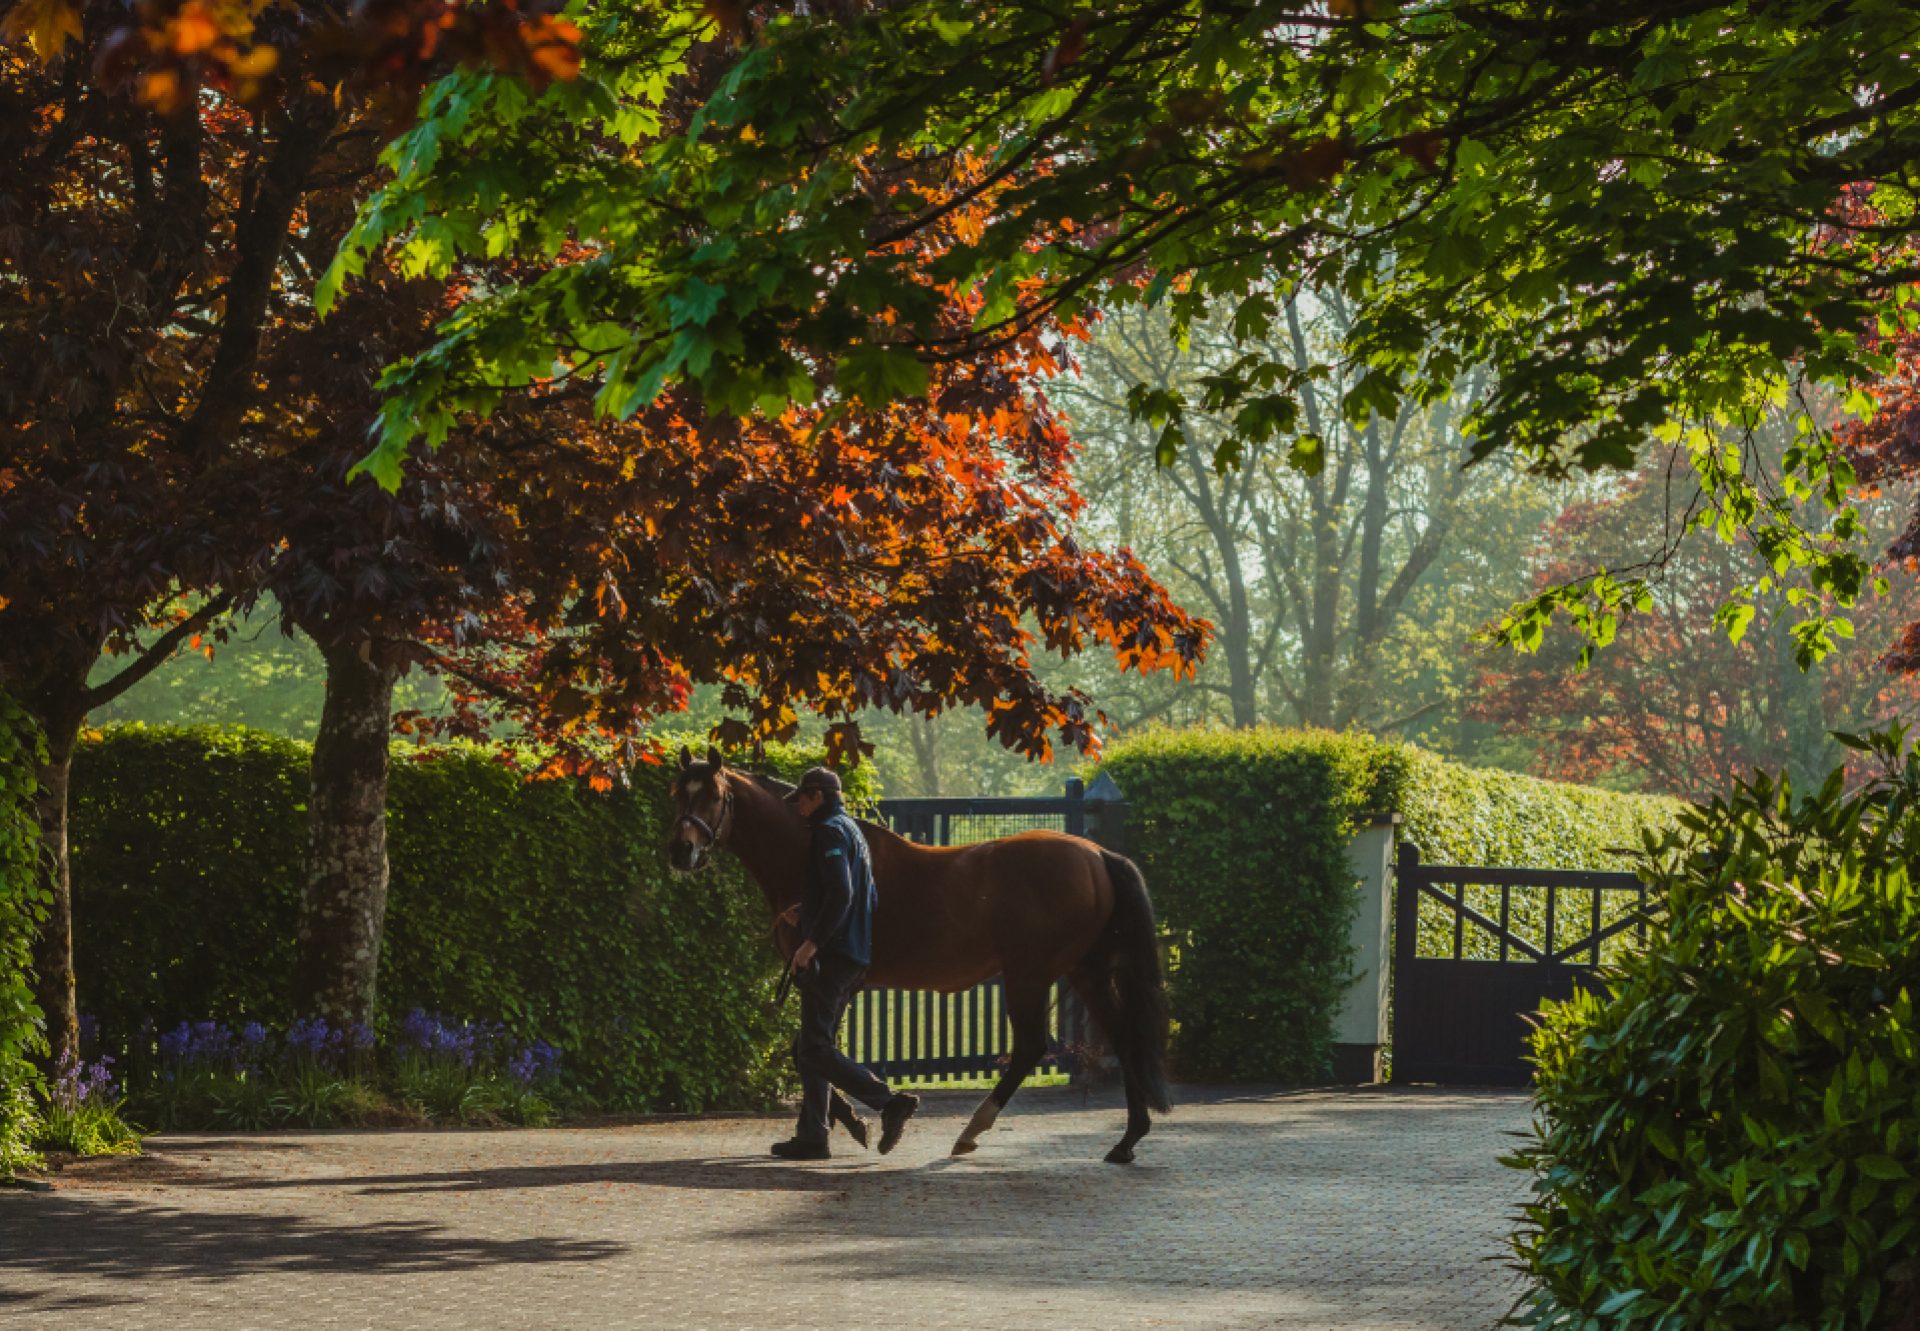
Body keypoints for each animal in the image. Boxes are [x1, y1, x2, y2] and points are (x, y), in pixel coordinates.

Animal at [660, 749, 1167, 1160]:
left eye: (713, 796)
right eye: (676, 793)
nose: (681, 850)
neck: (807, 854)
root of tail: (1098, 854)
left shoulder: (823, 978)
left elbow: (809, 1051)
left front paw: (854, 1122)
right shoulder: (828, 983)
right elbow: (811, 1051)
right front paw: (831, 1128)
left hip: (1029, 973)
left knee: (1030, 1046)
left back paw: (971, 1129)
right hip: (1086, 971)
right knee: (1123, 1037)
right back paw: (1127, 1139)